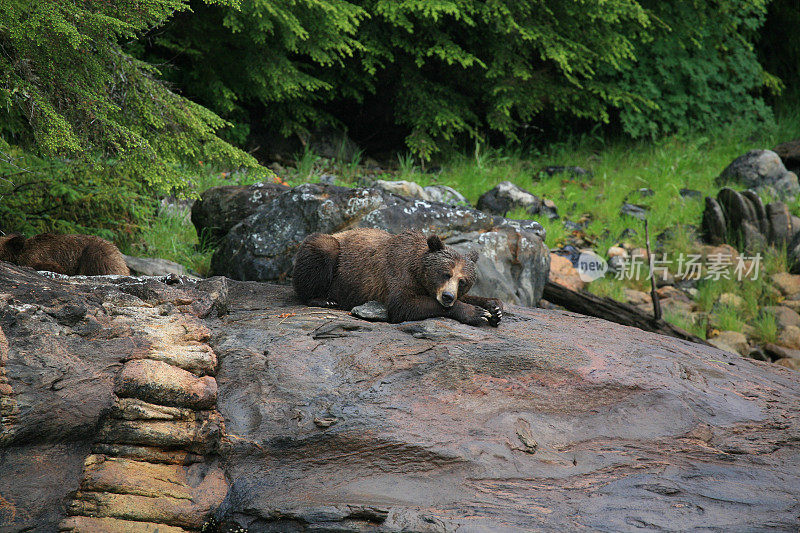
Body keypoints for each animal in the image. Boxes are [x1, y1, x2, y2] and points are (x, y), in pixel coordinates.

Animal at [290, 228, 504, 326]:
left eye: (462, 281)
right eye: (445, 273)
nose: (448, 297)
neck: (418, 269)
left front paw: (494, 308)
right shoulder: (398, 271)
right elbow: (403, 304)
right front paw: (476, 313)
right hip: (333, 252)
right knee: (321, 249)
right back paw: (324, 300)